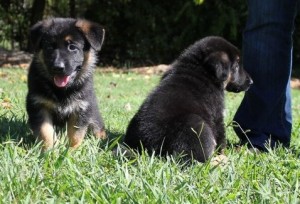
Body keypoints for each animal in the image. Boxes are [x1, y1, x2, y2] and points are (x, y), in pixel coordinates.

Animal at [25, 18, 106, 150]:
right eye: (49, 47)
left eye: (72, 47)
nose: (58, 67)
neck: (62, 90)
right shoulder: (39, 105)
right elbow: (46, 131)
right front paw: (49, 150)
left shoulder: (81, 108)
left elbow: (75, 134)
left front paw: (71, 151)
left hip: (93, 115)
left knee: (98, 128)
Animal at [123, 36, 252, 163]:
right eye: (236, 66)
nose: (251, 82)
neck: (200, 70)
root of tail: (149, 147)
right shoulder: (217, 115)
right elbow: (221, 137)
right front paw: (222, 153)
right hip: (195, 124)